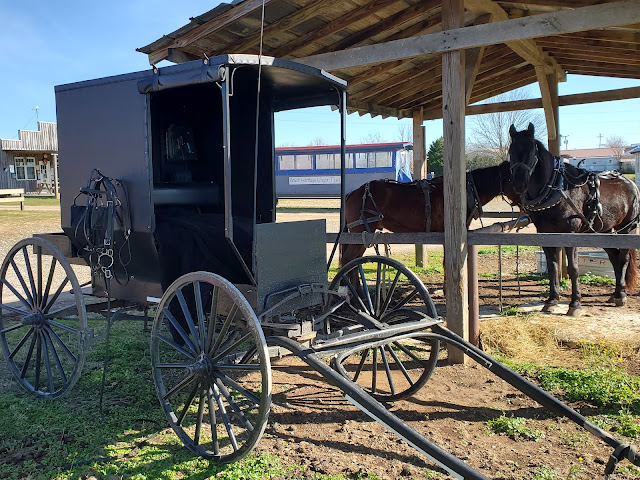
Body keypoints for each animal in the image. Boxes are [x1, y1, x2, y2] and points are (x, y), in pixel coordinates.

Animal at [508, 123, 636, 316]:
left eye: (532, 152)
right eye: (511, 151)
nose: (519, 184)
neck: (557, 188)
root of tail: (630, 183)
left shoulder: (570, 234)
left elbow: (573, 268)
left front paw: (575, 304)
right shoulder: (545, 234)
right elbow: (553, 267)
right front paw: (552, 300)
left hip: (627, 228)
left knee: (623, 258)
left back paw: (621, 295)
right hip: (603, 230)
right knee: (614, 258)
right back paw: (615, 294)